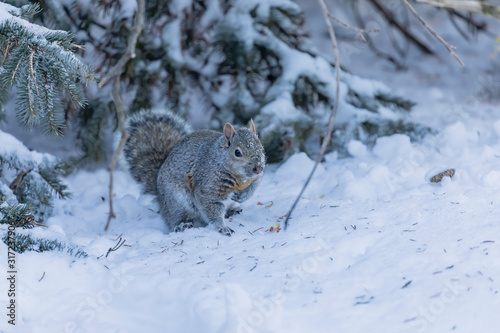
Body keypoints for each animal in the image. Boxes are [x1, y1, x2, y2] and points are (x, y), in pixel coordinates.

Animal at [122, 108, 266, 233]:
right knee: (174, 218)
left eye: (261, 147)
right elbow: (211, 207)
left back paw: (233, 210)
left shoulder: (255, 178)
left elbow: (253, 187)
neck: (240, 177)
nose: (258, 168)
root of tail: (159, 195)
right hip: (176, 202)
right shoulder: (208, 185)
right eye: (237, 152)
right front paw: (221, 227)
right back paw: (181, 224)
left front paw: (242, 196)